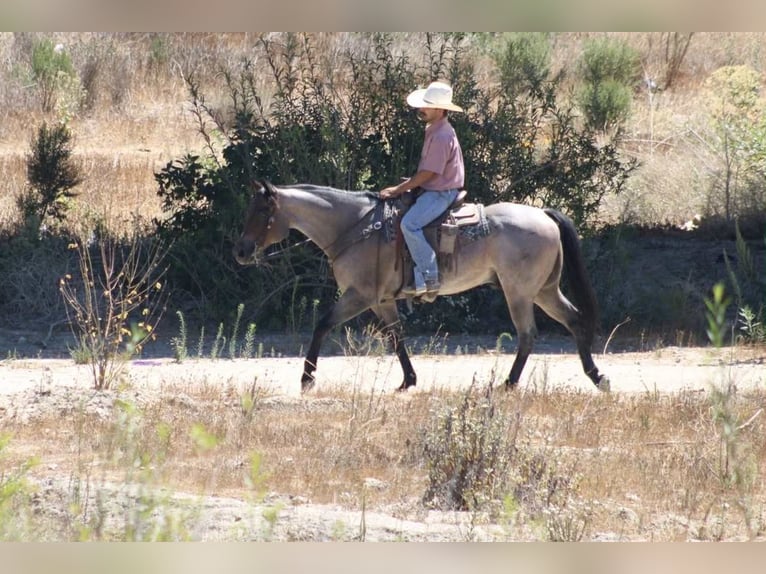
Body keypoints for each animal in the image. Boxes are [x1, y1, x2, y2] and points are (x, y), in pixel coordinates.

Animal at [233, 180, 610, 393]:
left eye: (261, 212)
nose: (240, 251)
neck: (355, 227)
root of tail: (544, 215)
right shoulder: (382, 300)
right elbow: (397, 337)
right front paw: (408, 380)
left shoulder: (359, 295)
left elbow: (322, 324)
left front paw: (307, 378)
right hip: (544, 290)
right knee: (574, 320)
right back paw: (596, 376)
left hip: (519, 292)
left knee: (528, 334)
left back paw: (509, 384)